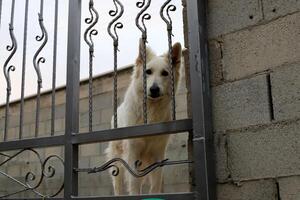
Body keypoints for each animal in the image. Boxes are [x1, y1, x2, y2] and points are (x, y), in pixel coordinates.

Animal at [104, 39, 182, 195]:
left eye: (165, 73)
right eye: (148, 72)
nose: (154, 89)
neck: (150, 113)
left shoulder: (158, 152)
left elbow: (156, 184)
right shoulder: (133, 153)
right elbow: (134, 183)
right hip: (117, 160)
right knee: (118, 185)